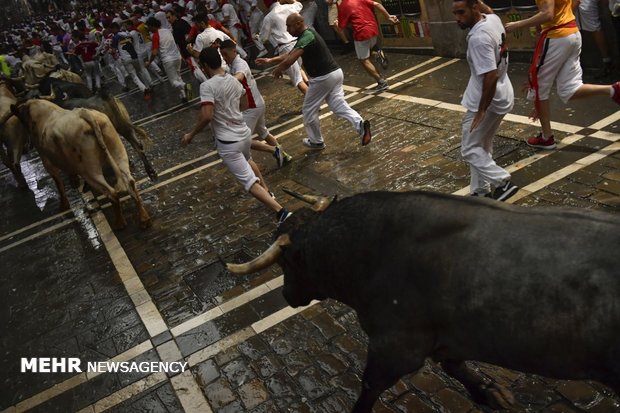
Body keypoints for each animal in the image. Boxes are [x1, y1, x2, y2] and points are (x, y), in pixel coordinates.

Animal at [9, 100, 151, 229]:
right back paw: (144, 219)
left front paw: (64, 205)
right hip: (118, 152)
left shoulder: (47, 161)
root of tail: (85, 114)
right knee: (130, 182)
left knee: (111, 192)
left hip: (89, 170)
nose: (27, 146)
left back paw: (120, 223)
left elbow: (58, 184)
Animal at [228, 191, 620, 412]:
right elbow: (455, 367)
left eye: (286, 263)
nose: (285, 294)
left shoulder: (396, 348)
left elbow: (369, 388)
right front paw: (489, 393)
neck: (371, 252)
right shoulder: (446, 338)